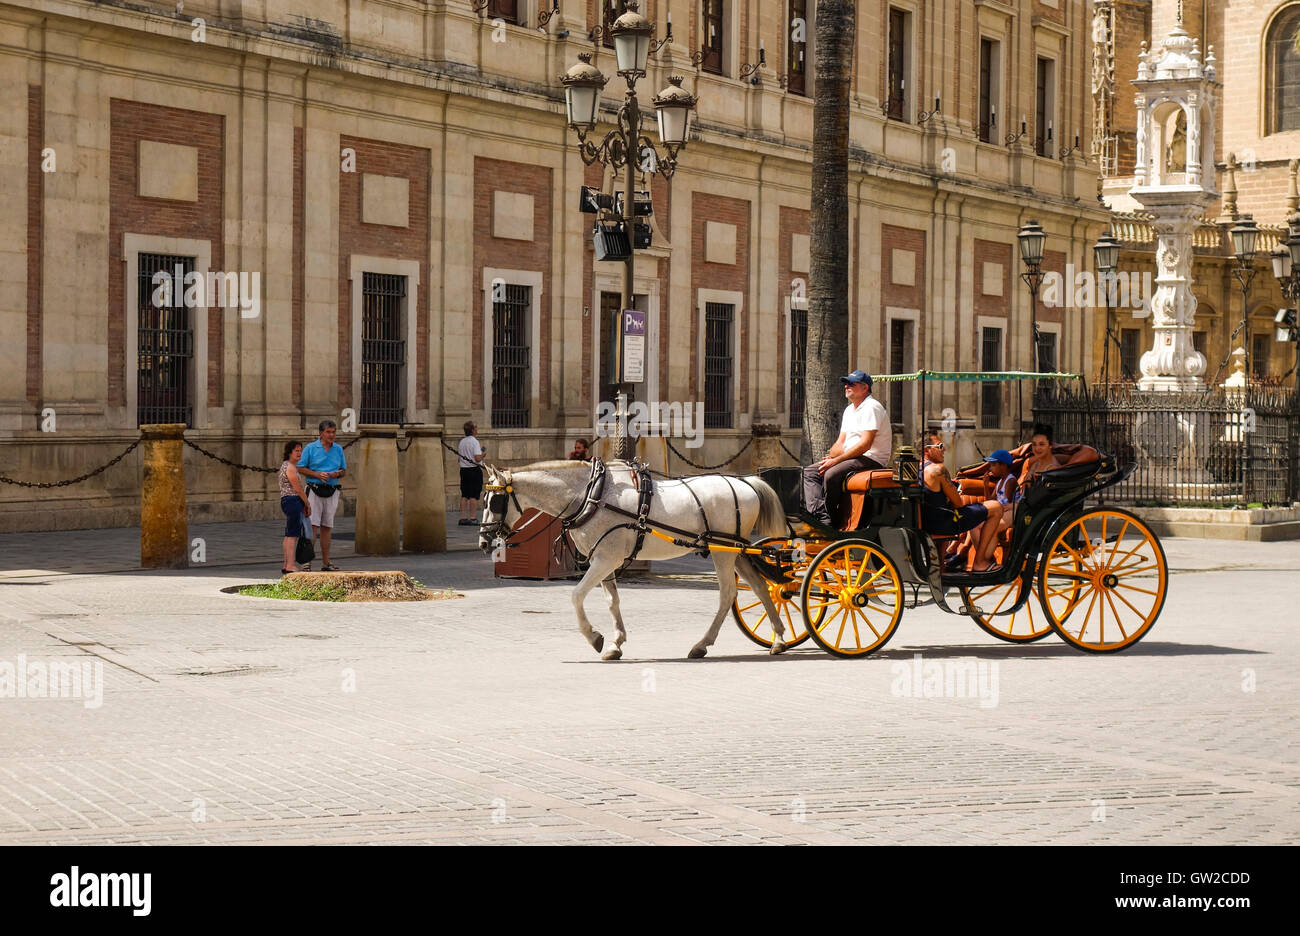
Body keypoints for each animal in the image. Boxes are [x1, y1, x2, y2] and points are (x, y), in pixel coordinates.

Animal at [478, 460, 780, 657]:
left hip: (722, 551)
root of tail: (746, 482)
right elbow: (612, 602)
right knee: (762, 587)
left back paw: (702, 644)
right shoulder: (604, 559)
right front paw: (616, 643)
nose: (483, 541)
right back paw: (778, 638)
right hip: (736, 551)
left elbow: (576, 595)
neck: (592, 496)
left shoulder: (605, 559)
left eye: (495, 502)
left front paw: (594, 637)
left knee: (728, 594)